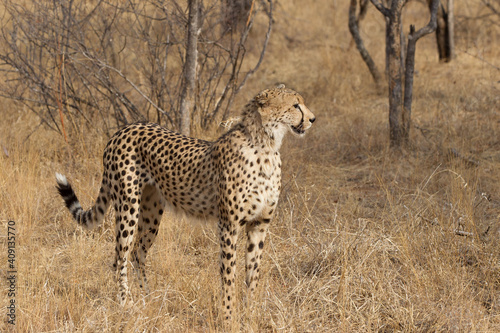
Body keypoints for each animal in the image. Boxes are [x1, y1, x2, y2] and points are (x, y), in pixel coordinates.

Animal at [54, 85, 312, 322]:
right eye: (295, 105)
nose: (312, 119)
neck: (266, 146)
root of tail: (123, 129)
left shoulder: (259, 224)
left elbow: (252, 274)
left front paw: (251, 313)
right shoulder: (228, 225)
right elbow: (229, 274)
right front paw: (229, 316)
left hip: (152, 213)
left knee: (137, 253)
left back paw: (148, 297)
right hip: (128, 206)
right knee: (120, 257)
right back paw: (126, 303)